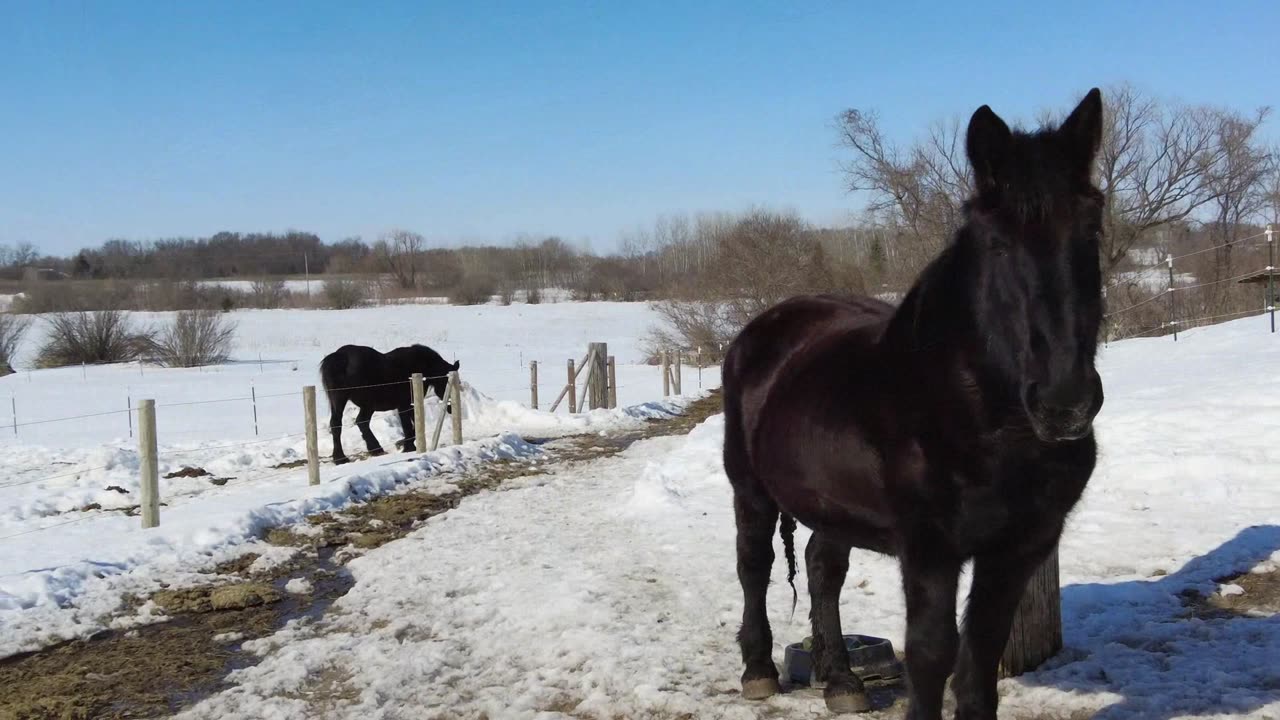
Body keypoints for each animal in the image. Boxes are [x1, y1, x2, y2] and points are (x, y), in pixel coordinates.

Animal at [320, 343, 460, 466]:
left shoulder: (409, 404)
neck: (419, 366)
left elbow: (414, 424)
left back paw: (368, 451)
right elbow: (408, 426)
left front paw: (403, 443)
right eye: (446, 382)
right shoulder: (404, 405)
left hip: (358, 403)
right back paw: (347, 456)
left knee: (354, 423)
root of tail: (339, 356)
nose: (451, 408)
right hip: (350, 401)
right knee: (346, 424)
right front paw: (407, 447)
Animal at [727, 90, 1105, 717]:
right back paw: (759, 669)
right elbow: (932, 654)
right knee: (753, 566)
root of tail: (765, 327)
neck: (981, 417)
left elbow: (980, 660)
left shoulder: (1017, 549)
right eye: (998, 245)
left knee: (824, 568)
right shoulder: (930, 549)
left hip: (830, 501)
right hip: (749, 488)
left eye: (1092, 232)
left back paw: (842, 680)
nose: (1065, 403)